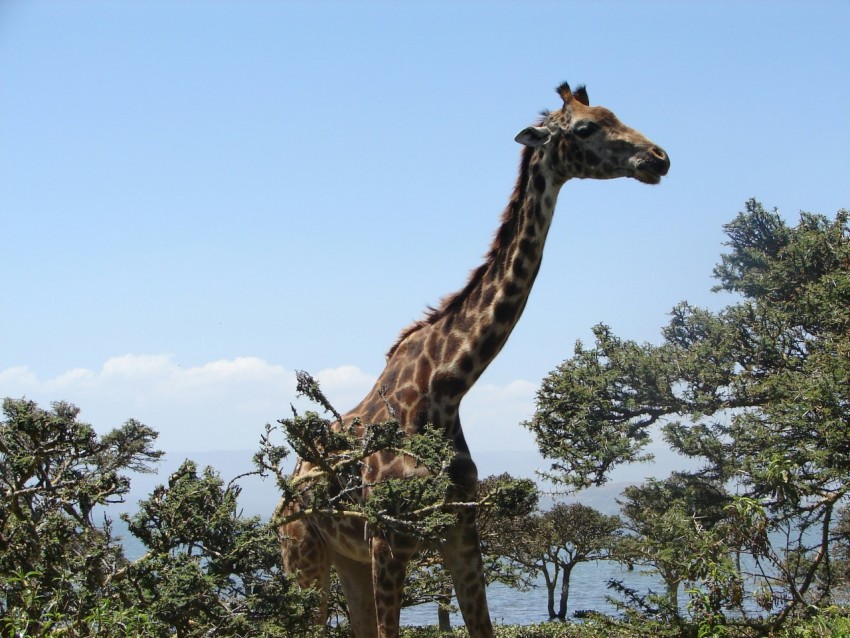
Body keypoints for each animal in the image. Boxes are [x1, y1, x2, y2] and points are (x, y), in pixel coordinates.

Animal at [282, 82, 664, 636]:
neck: (447, 386)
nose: (659, 159)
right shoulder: (390, 540)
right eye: (585, 128)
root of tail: (290, 481)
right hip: (302, 555)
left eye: (615, 113)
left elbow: (481, 626)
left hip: (347, 557)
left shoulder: (462, 531)